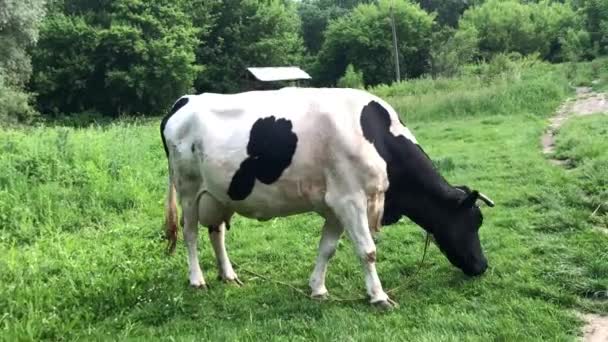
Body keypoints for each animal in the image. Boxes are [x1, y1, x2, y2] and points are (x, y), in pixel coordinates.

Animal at [160, 87, 494, 308]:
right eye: (471, 222)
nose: (482, 266)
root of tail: (184, 100)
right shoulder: (351, 200)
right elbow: (367, 251)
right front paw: (379, 296)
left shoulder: (336, 205)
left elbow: (327, 249)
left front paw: (318, 289)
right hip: (188, 190)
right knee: (191, 234)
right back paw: (197, 279)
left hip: (220, 194)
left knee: (216, 232)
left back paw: (228, 275)